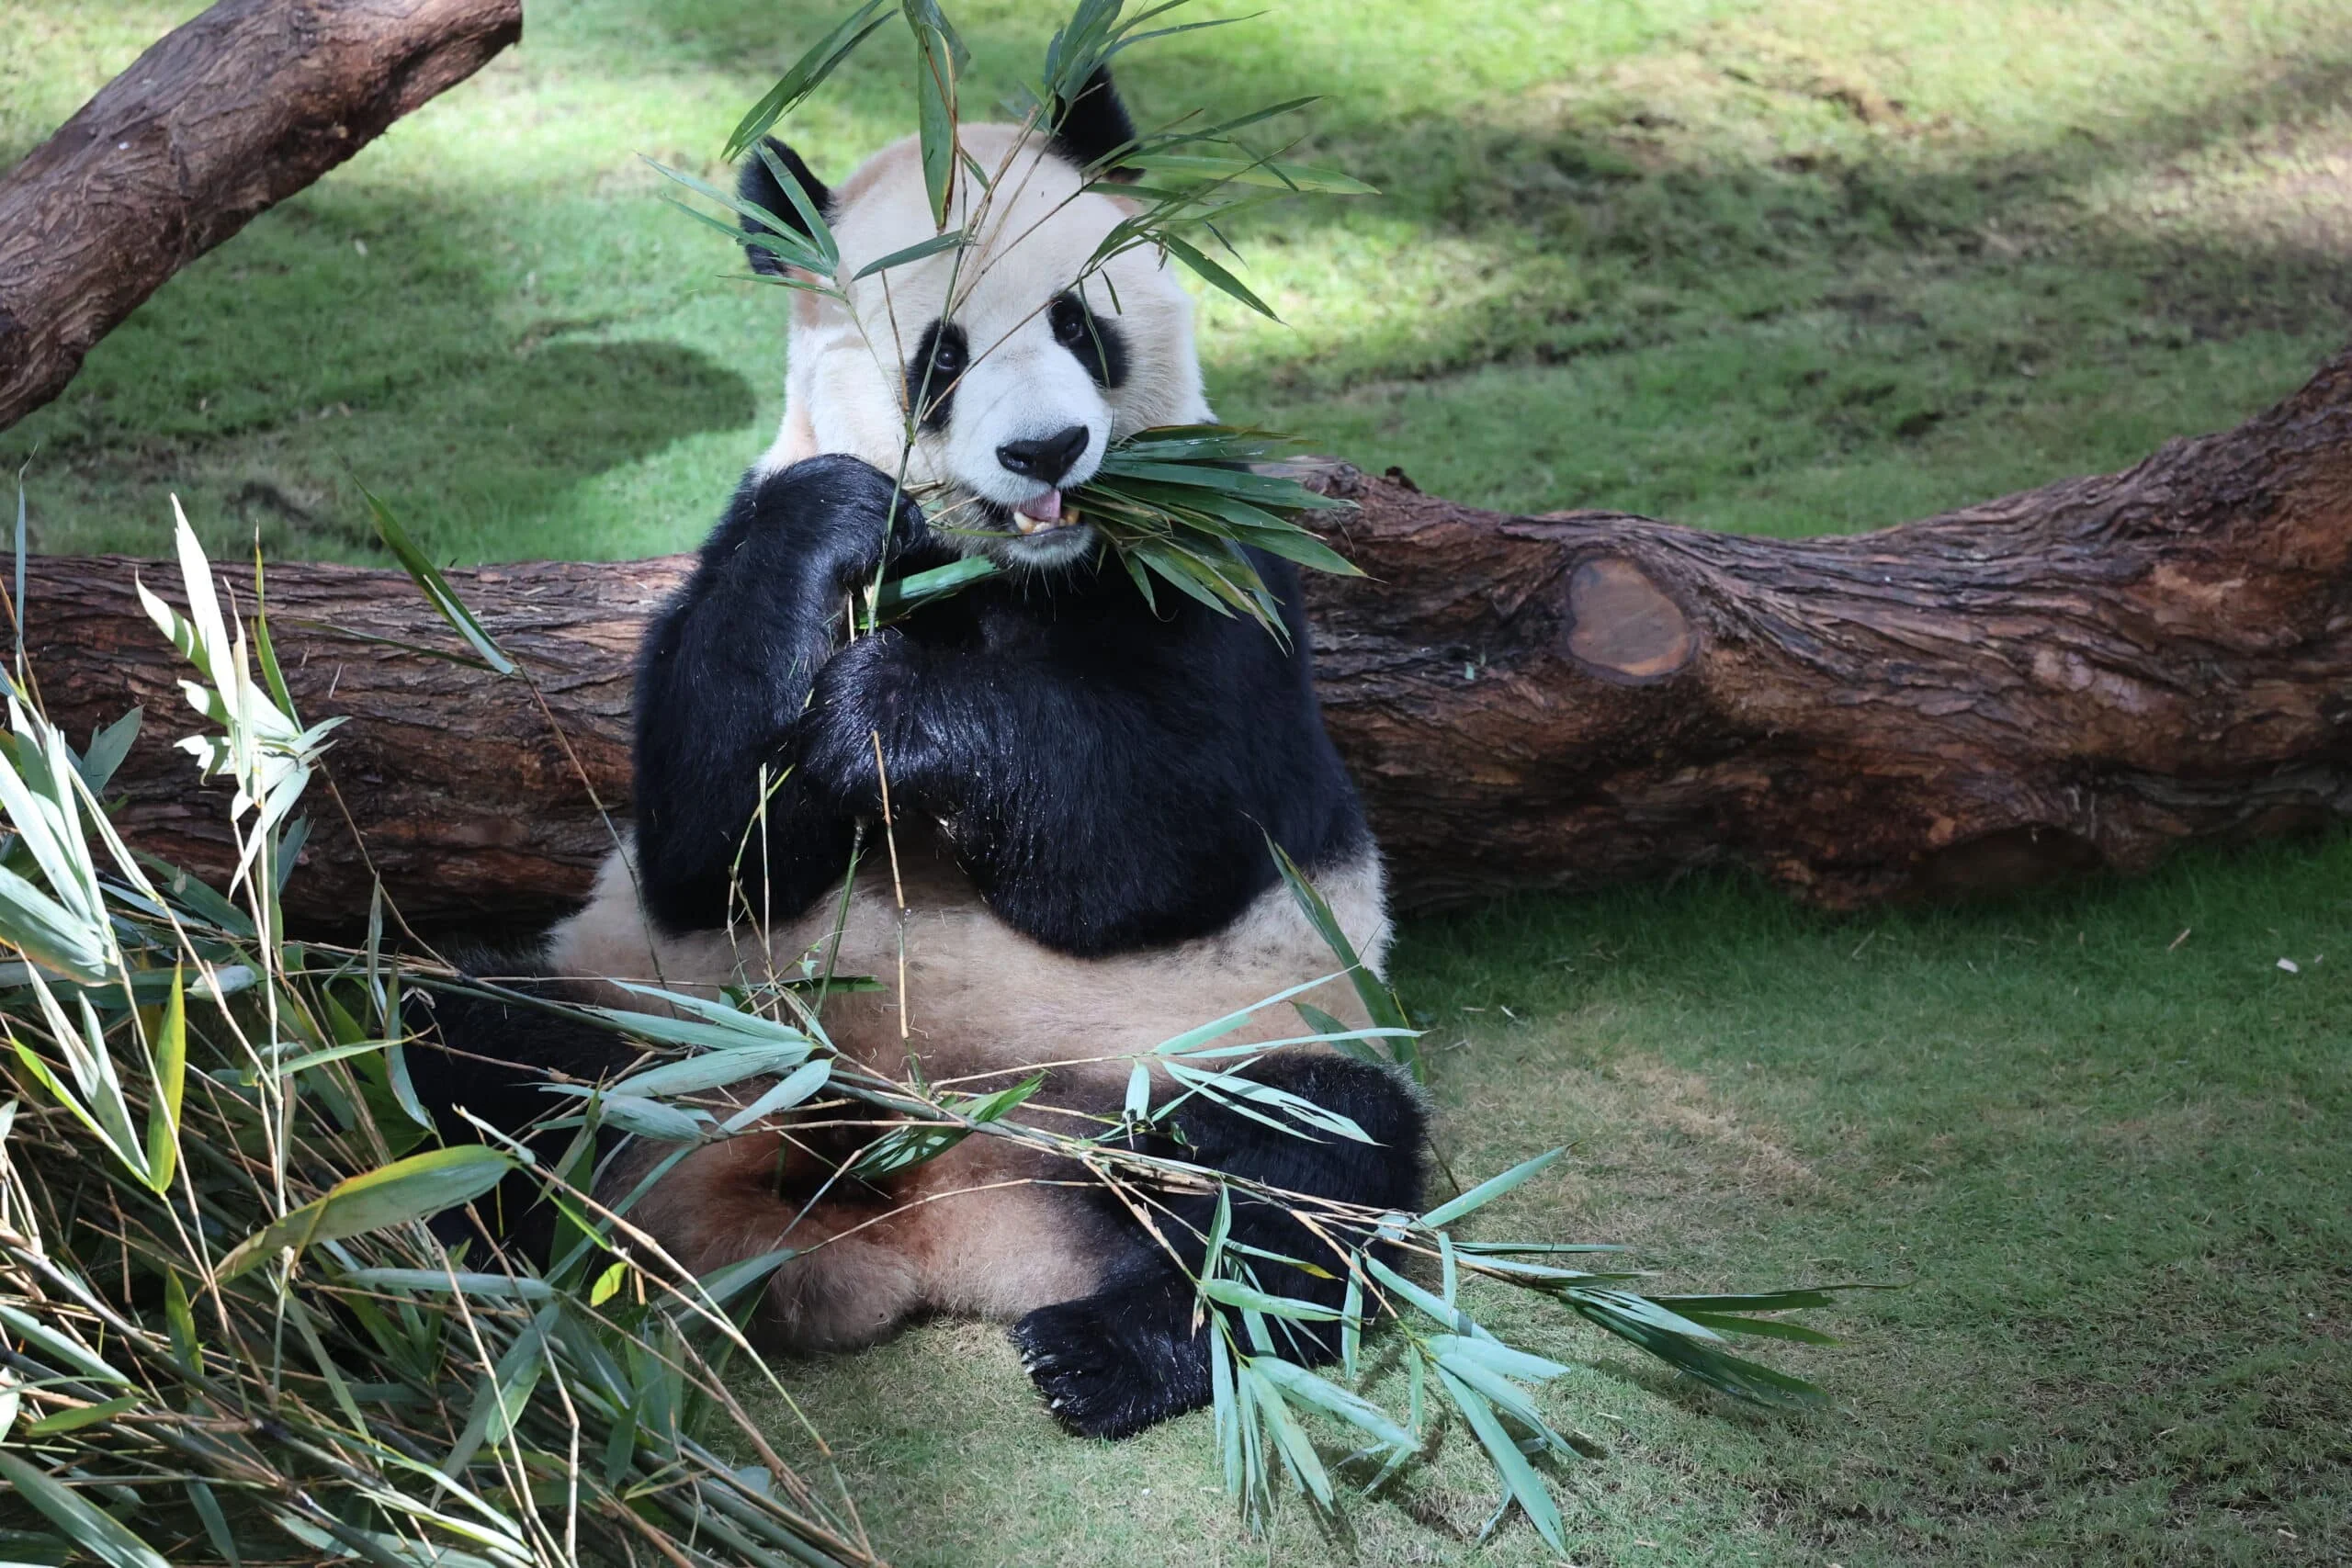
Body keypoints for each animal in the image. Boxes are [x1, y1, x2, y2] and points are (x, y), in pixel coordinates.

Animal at [427, 67, 1425, 1441]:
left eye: (1081, 324)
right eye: (938, 358)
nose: (1046, 451)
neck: (1009, 565)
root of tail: (928, 1213)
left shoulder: (1217, 561)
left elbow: (1166, 834)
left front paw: (884, 713)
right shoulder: (729, 555)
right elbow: (704, 846)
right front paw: (839, 546)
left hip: (1183, 1049)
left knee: (1301, 1171)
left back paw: (1113, 1348)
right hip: (657, 1028)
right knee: (458, 1052)